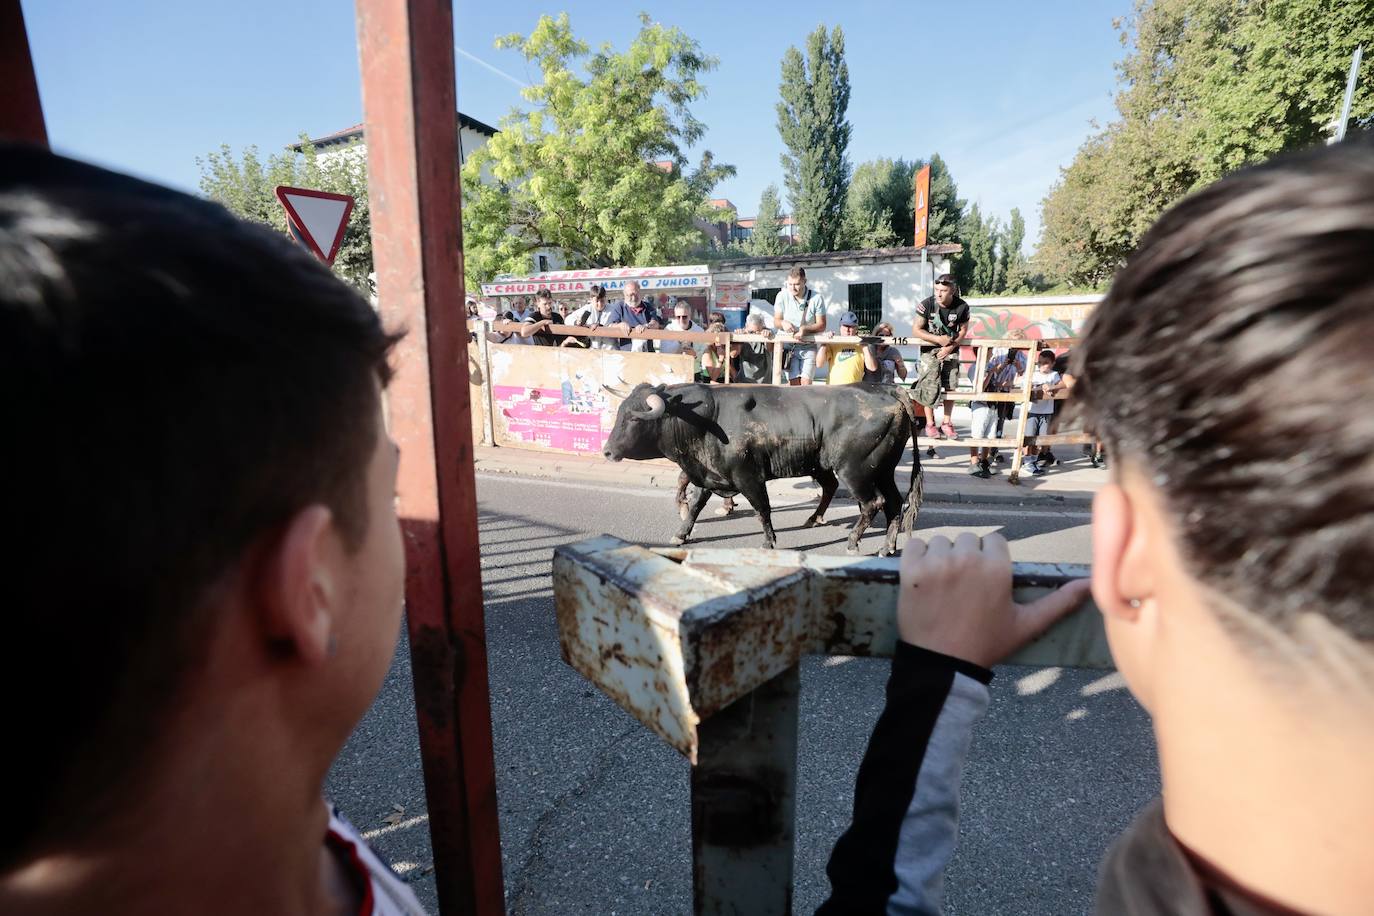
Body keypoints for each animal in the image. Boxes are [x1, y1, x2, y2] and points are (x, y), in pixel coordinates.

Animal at [601, 381, 923, 554]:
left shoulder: (749, 477)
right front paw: (681, 534)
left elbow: (762, 509)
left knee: (873, 503)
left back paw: (853, 541)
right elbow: (694, 507)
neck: (706, 418)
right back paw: (885, 547)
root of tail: (889, 390)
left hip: (856, 471)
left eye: (634, 418)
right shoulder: (709, 474)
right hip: (882, 469)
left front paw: (769, 542)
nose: (606, 451)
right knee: (893, 503)